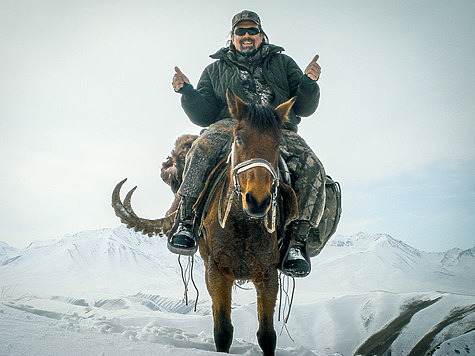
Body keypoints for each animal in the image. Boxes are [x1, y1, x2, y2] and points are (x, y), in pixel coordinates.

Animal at [111, 88, 298, 354]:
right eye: (238, 139)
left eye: (279, 143)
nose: (258, 200)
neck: (244, 225)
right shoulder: (216, 271)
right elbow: (223, 331)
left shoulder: (268, 274)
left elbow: (267, 335)